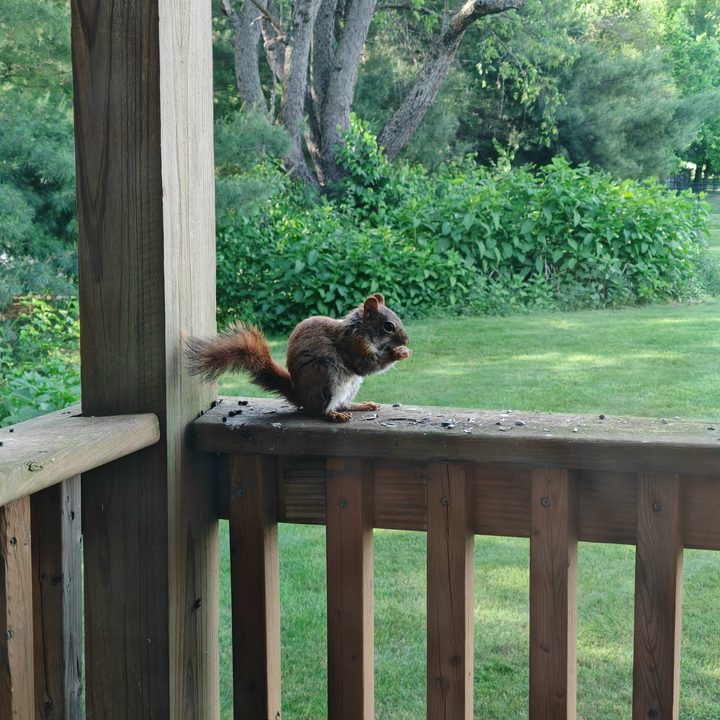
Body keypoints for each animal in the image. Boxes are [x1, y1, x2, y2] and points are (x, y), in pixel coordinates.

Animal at [185, 293, 411, 422]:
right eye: (388, 326)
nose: (406, 340)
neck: (361, 329)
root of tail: (301, 397)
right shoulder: (353, 345)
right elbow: (365, 365)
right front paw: (398, 352)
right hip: (326, 376)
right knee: (320, 410)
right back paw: (332, 414)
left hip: (351, 385)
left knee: (343, 403)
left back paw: (360, 405)